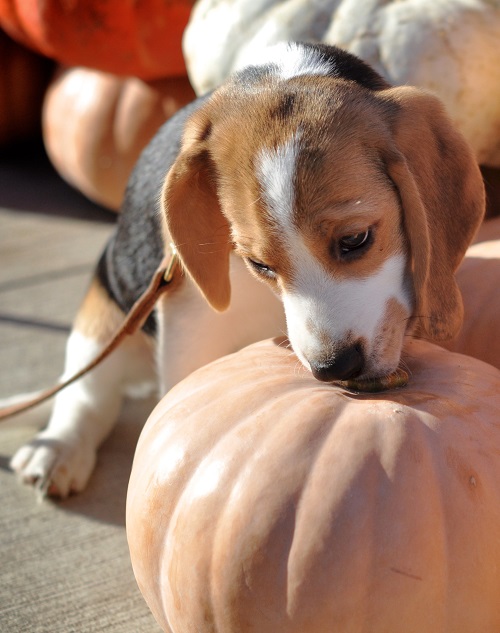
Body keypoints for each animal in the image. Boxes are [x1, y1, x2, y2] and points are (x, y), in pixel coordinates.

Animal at [7, 42, 484, 496]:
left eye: (356, 240)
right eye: (258, 264)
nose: (334, 368)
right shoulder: (190, 322)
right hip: (103, 317)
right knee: (87, 398)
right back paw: (58, 449)